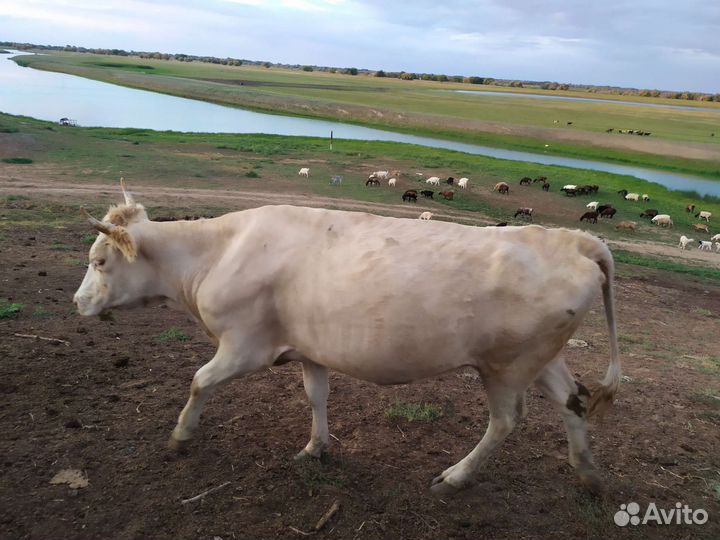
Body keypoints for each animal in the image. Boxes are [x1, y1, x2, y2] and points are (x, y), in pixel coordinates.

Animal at [74, 182, 621, 497]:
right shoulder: (308, 347)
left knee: (506, 421)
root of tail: (574, 240)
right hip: (542, 358)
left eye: (99, 261)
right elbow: (316, 395)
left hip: (506, 366)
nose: (78, 302)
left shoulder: (244, 347)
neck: (215, 254)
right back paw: (588, 473)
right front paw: (316, 447)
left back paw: (456, 477)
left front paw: (182, 434)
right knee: (574, 401)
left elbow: (199, 381)